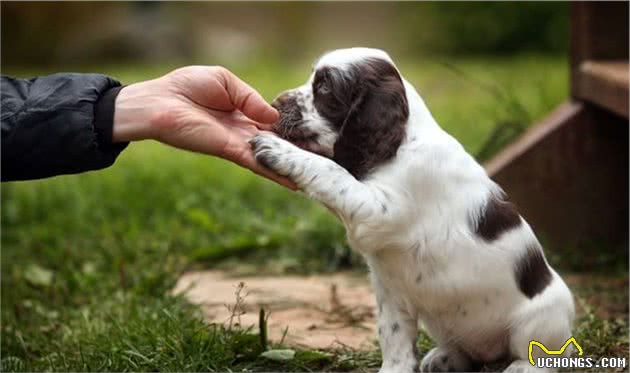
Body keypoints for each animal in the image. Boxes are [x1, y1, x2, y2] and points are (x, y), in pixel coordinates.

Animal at [249, 48, 576, 370]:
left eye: (325, 87)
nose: (274, 104)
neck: (403, 142)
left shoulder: (379, 209)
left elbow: (332, 172)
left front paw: (279, 150)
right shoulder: (391, 293)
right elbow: (394, 339)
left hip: (543, 318)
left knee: (543, 353)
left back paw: (521, 366)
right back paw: (443, 358)